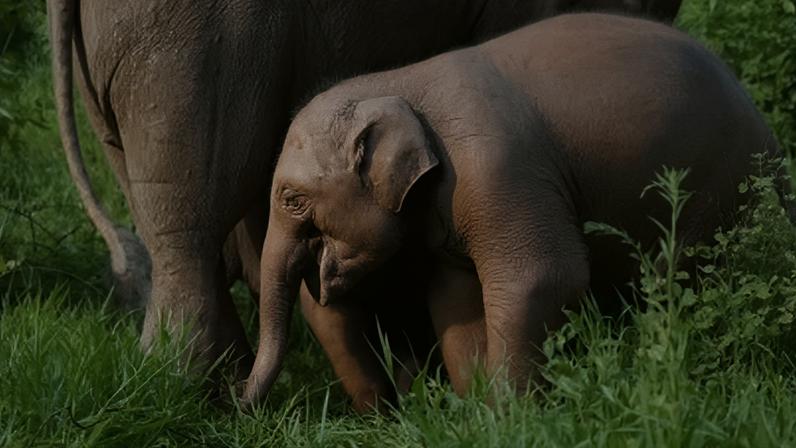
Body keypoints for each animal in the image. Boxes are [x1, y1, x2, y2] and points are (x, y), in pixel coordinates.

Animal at [242, 13, 786, 408]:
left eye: (291, 198)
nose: (241, 405)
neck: (399, 80)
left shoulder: (501, 169)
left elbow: (544, 277)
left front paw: (510, 415)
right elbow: (456, 301)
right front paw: (475, 410)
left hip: (720, 189)